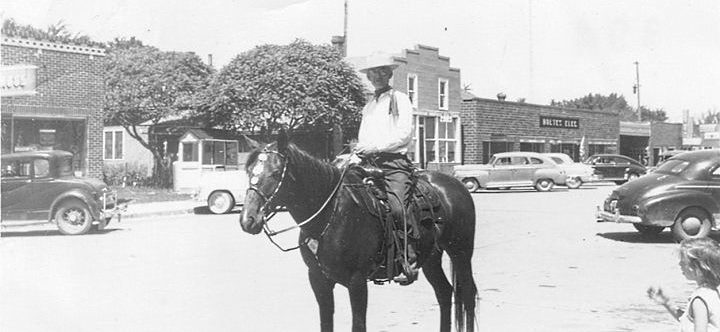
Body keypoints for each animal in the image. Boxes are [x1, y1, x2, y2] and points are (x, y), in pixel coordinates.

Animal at [242, 136, 478, 330]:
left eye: (275, 174)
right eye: (249, 172)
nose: (247, 219)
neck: (329, 216)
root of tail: (455, 184)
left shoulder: (357, 282)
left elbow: (358, 324)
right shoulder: (318, 279)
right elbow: (325, 322)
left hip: (461, 252)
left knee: (467, 294)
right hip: (430, 258)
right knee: (444, 293)